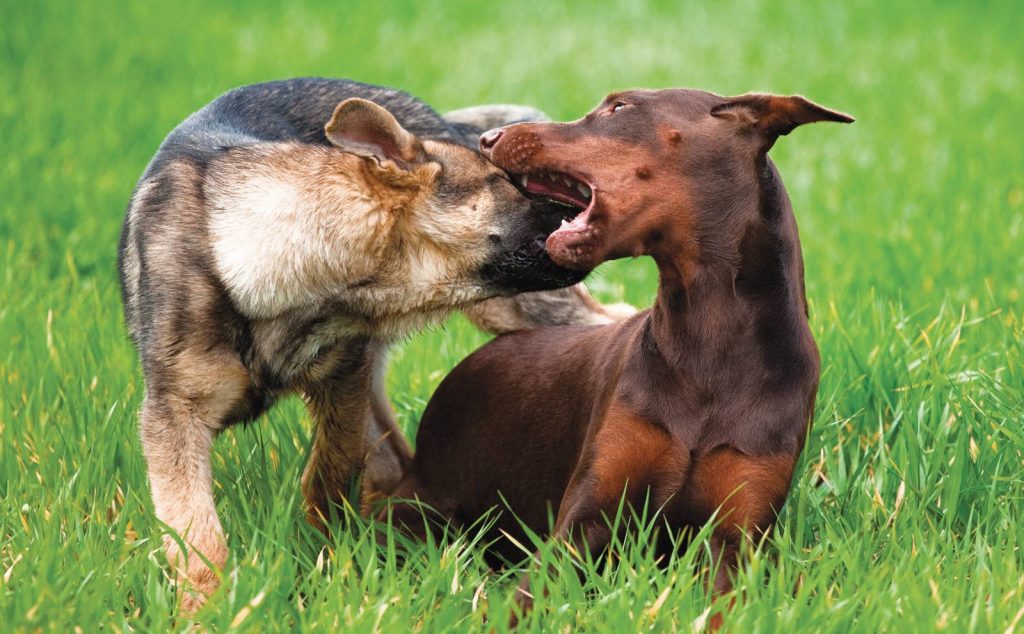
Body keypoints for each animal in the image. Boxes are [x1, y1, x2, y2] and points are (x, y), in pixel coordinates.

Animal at [119, 76, 630, 614]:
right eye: (505, 182)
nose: (589, 205)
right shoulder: (174, 416)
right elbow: (194, 529)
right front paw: (208, 607)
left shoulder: (345, 377)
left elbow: (329, 470)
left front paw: (323, 549)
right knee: (396, 460)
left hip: (517, 312)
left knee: (614, 319)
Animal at [385, 88, 847, 618]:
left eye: (620, 107)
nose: (487, 137)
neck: (711, 341)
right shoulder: (585, 517)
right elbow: (529, 597)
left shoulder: (736, 540)